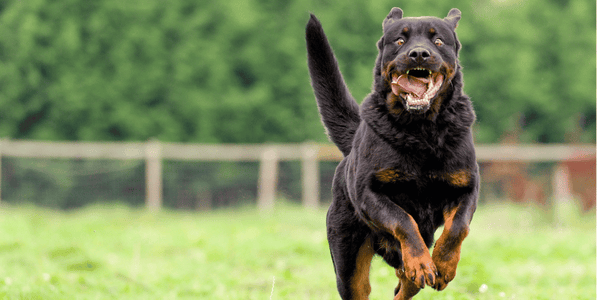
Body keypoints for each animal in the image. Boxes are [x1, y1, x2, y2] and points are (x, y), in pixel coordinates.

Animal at [304, 7, 478, 300]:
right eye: (399, 40)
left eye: (438, 41)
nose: (418, 53)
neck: (421, 130)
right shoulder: (370, 193)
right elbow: (403, 220)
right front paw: (421, 261)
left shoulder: (465, 188)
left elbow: (457, 227)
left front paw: (443, 265)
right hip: (349, 261)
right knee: (364, 283)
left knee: (406, 285)